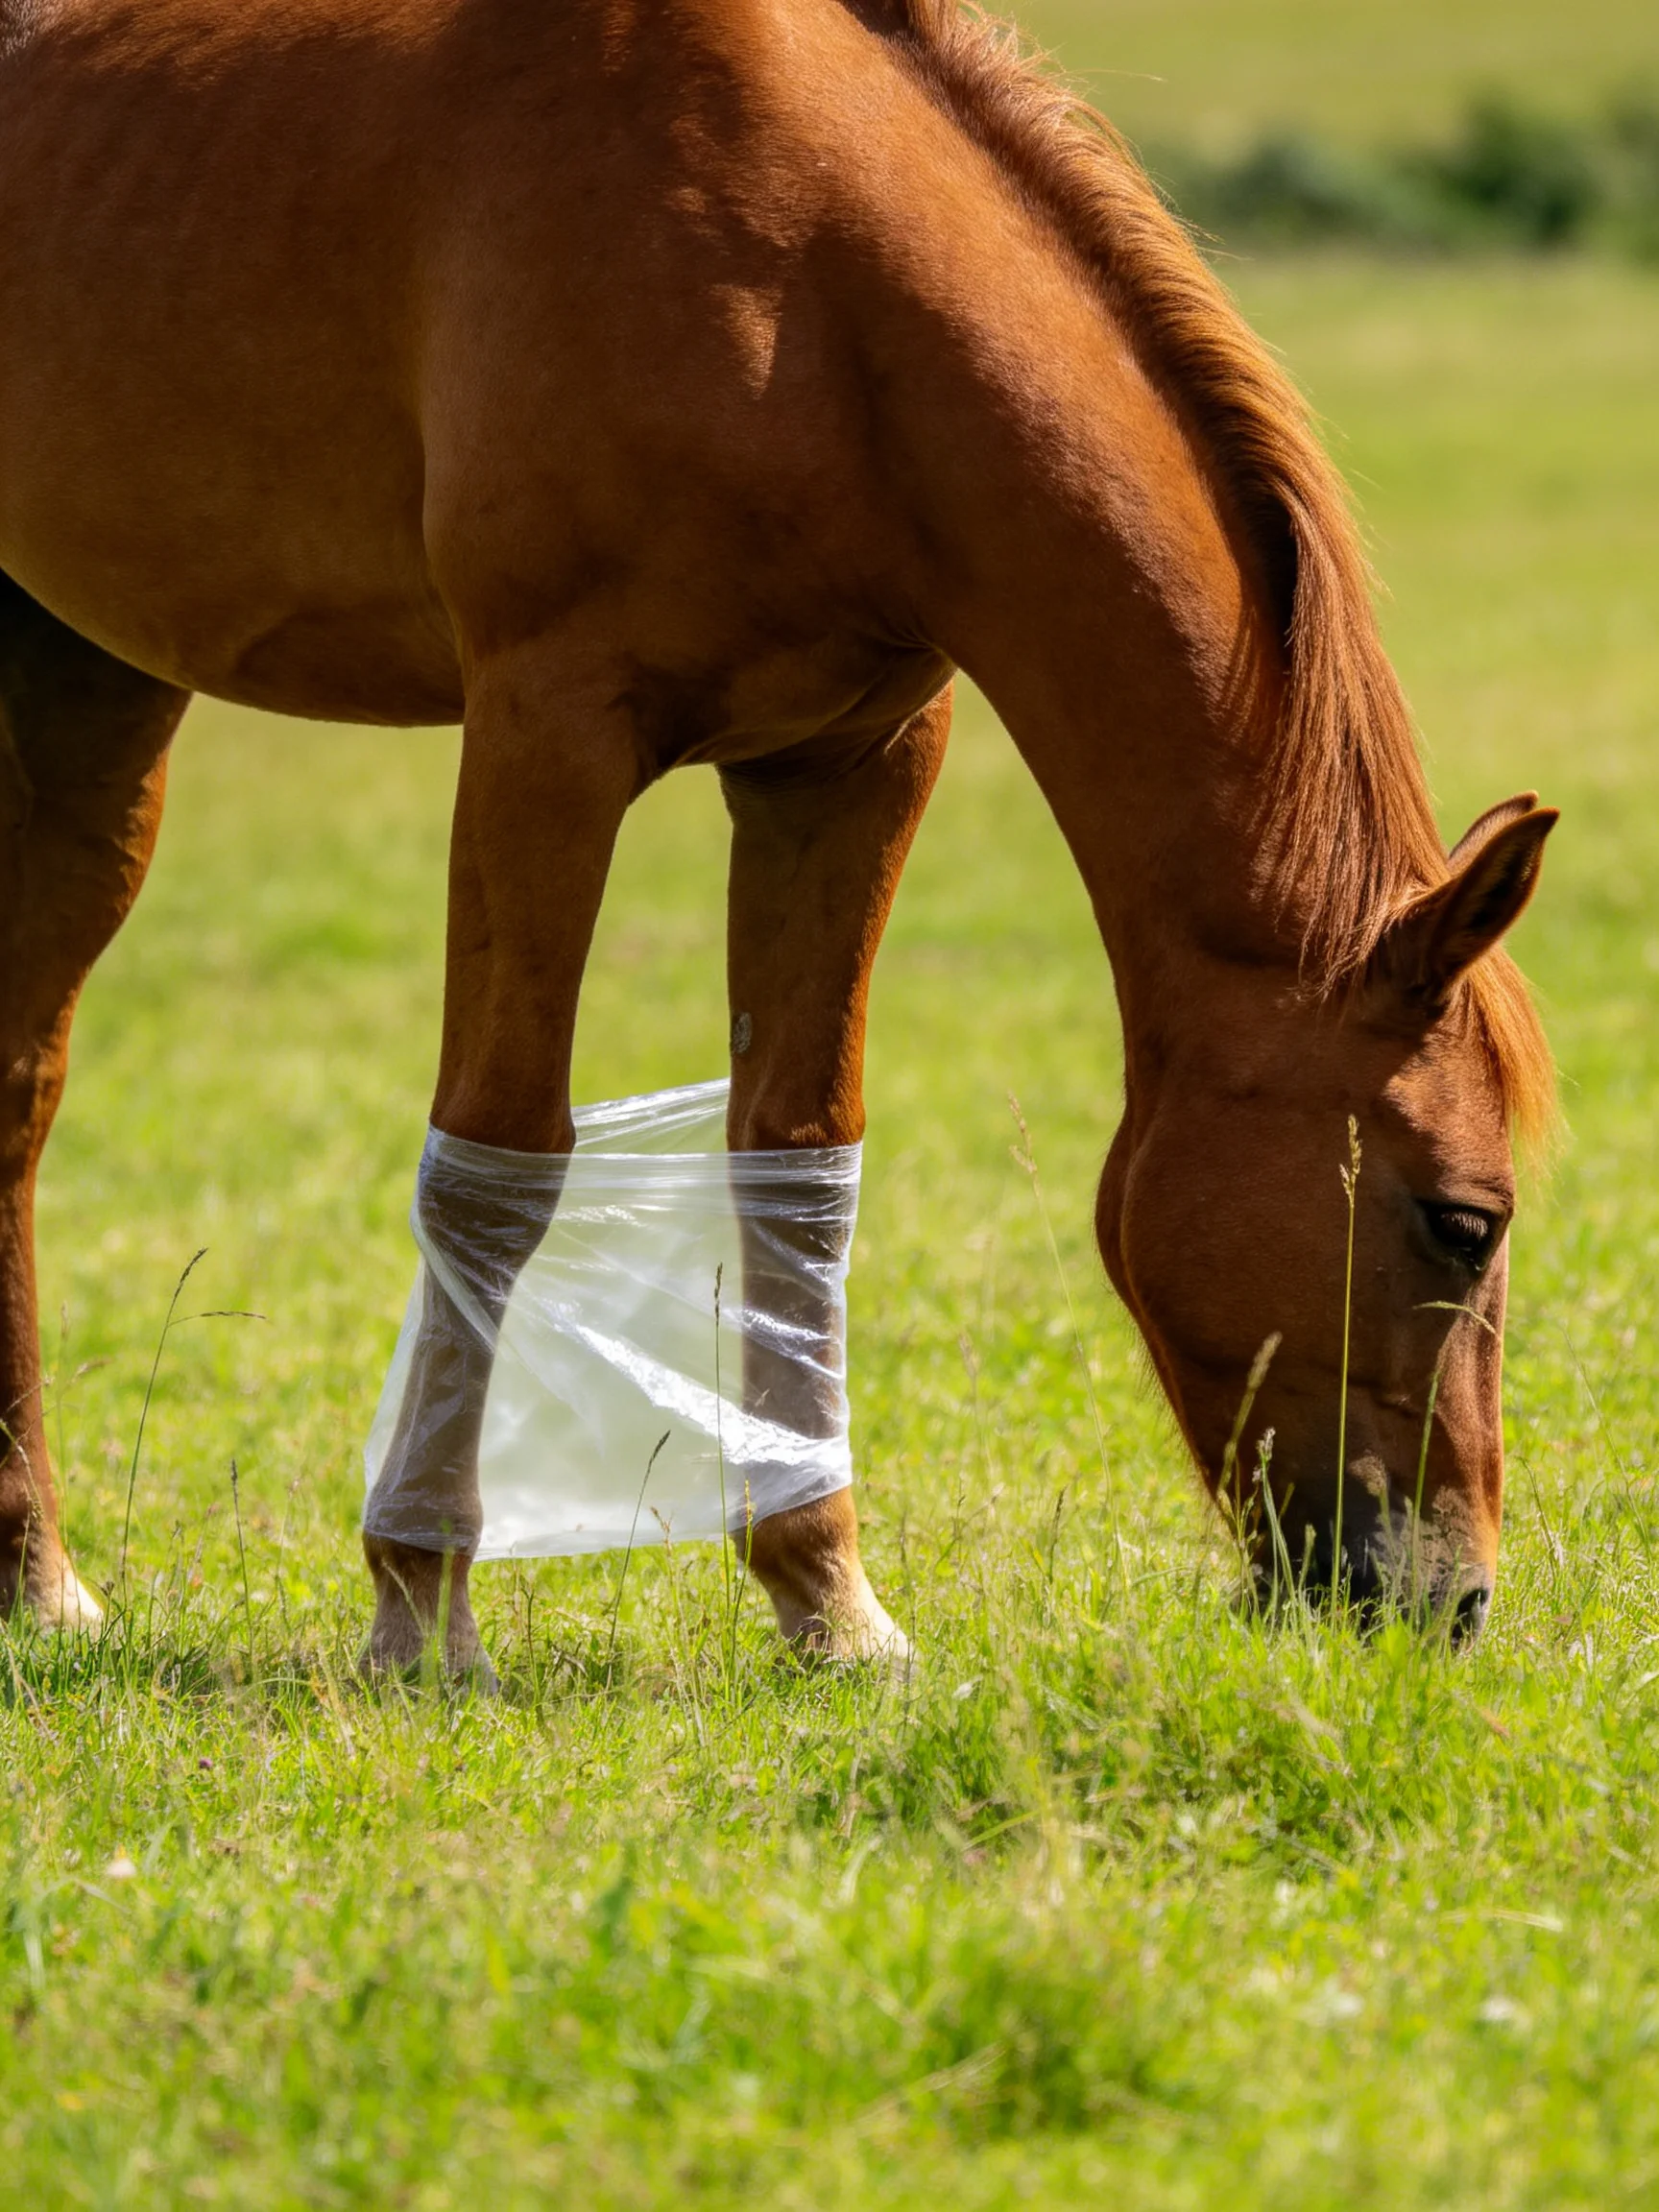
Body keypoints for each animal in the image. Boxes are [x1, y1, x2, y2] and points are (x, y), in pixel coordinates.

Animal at [0, 0, 1555, 1670]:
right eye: (1464, 1224)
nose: (1452, 1601)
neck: (810, 294)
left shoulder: (849, 762)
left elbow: (800, 1162)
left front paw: (829, 1599)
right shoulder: (548, 732)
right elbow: (495, 1158)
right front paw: (422, 1603)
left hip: (94, 682)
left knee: (16, 1091)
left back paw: (34, 1571)